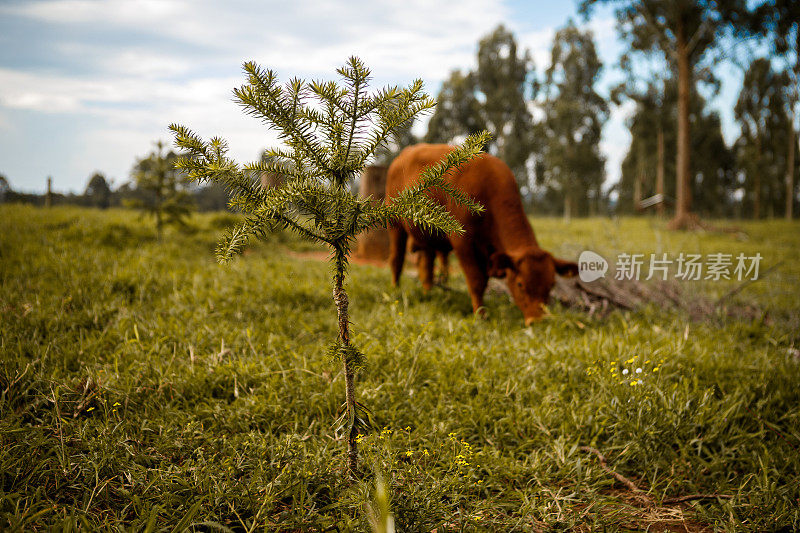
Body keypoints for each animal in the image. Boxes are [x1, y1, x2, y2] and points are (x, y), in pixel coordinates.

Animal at [386, 143, 580, 322]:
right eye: (520, 284)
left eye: (551, 285)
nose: (538, 321)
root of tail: (406, 153)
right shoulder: (463, 243)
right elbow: (476, 281)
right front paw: (481, 316)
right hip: (395, 222)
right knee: (397, 260)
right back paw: (395, 291)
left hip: (427, 237)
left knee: (426, 268)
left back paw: (429, 294)